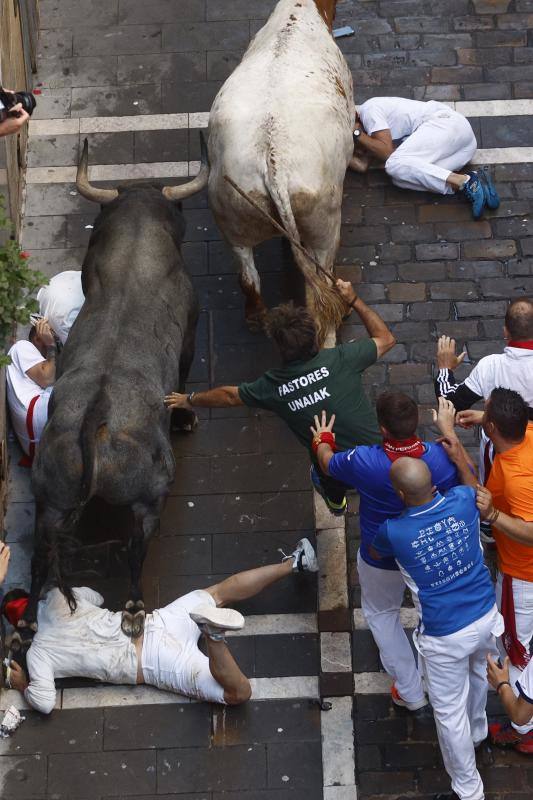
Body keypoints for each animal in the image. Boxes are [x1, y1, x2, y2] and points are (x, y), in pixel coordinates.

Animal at [19, 136, 206, 636]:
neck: (136, 244)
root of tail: (95, 420)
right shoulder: (189, 332)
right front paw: (186, 416)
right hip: (149, 497)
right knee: (136, 551)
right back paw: (135, 607)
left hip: (50, 500)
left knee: (41, 554)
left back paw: (24, 625)